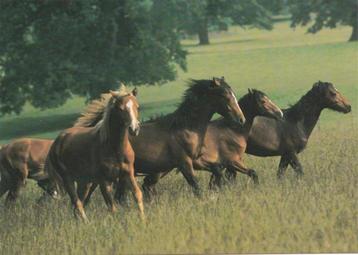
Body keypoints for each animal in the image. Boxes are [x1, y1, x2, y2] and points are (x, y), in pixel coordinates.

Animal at [45, 87, 143, 221]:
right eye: (121, 108)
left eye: (137, 106)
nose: (134, 129)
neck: (115, 149)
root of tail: (56, 142)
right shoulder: (104, 181)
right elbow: (112, 207)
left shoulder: (128, 173)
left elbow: (137, 194)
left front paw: (144, 221)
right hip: (68, 179)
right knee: (77, 203)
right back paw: (86, 222)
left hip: (84, 182)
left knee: (79, 204)